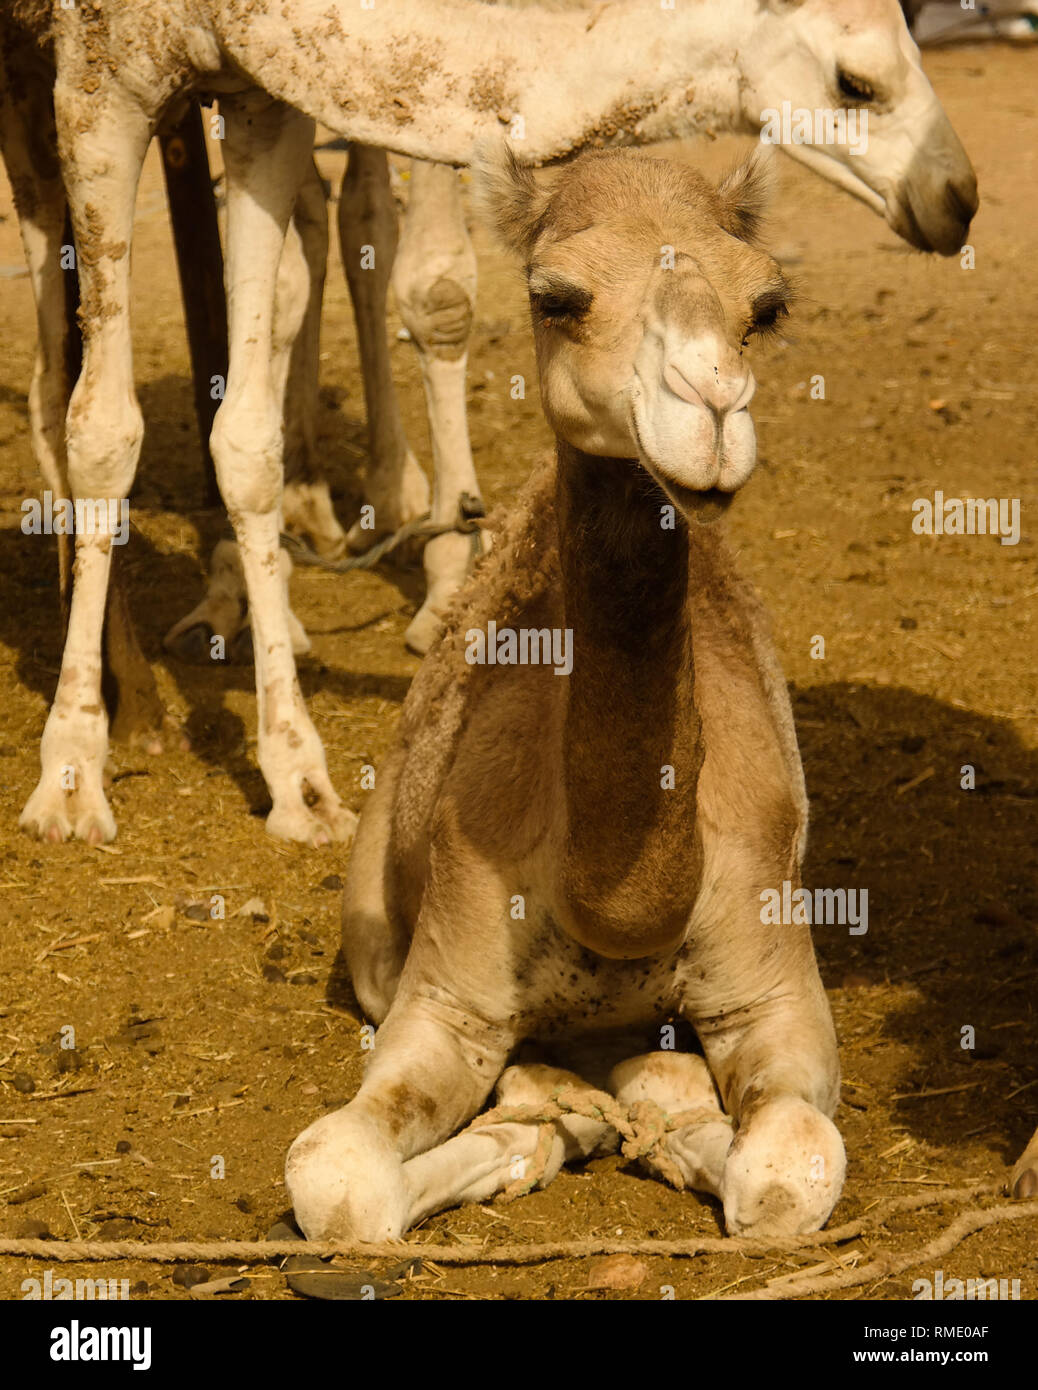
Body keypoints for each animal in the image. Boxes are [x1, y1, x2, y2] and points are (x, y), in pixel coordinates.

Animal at [287, 146, 850, 1245]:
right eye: (556, 296)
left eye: (765, 304)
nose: (711, 412)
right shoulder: (445, 997)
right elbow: (334, 1175)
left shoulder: (773, 987)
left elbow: (785, 1172)